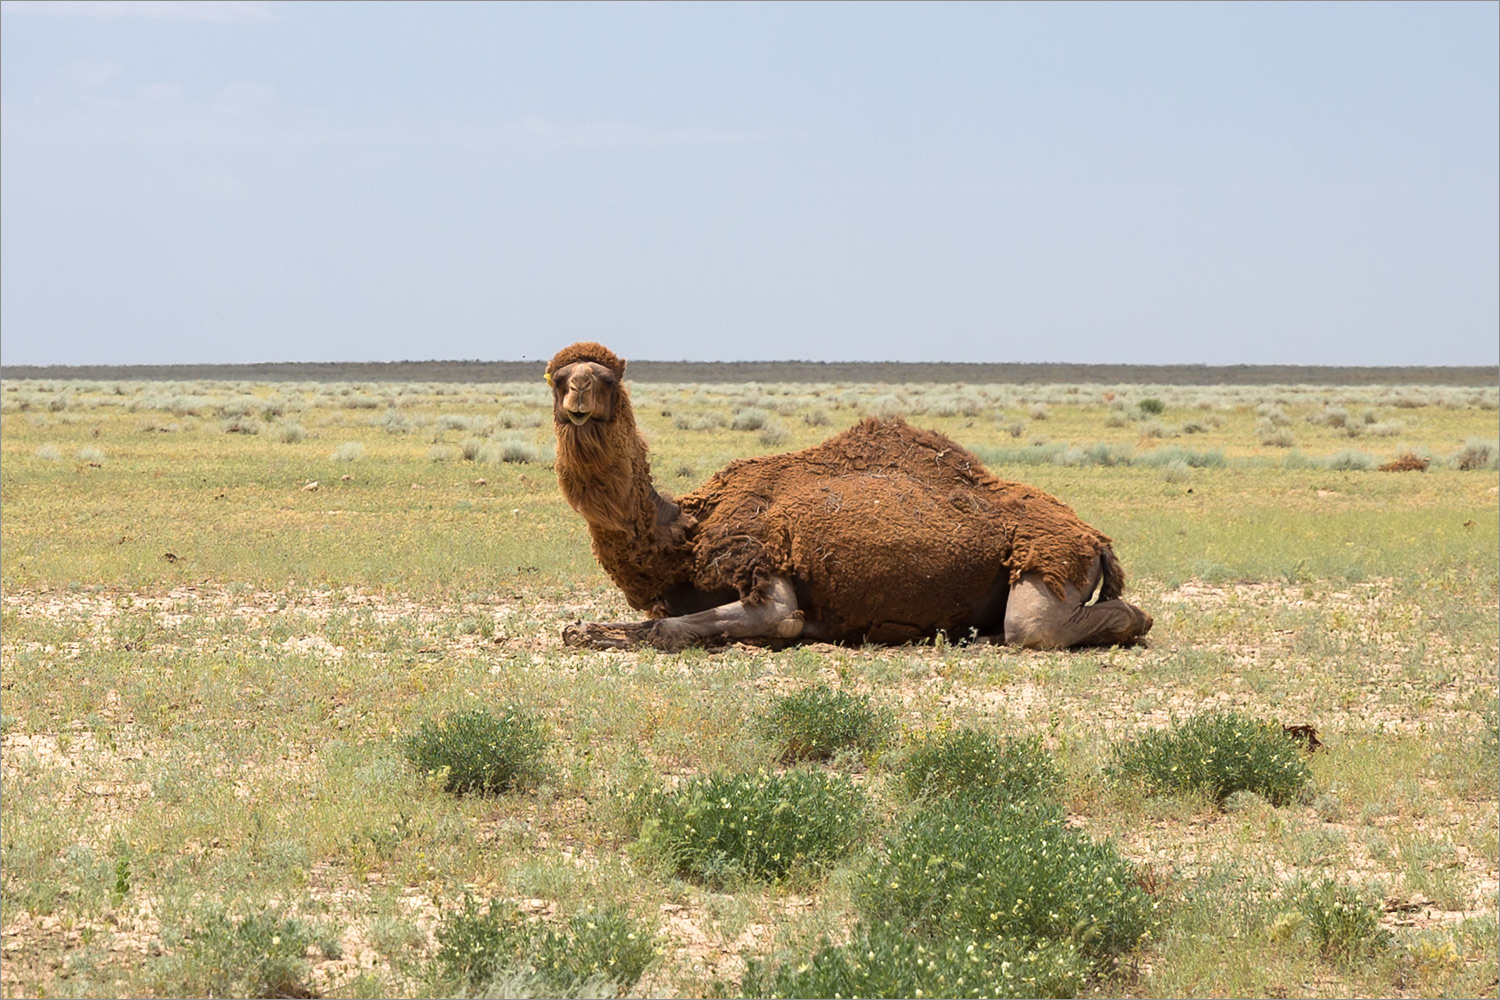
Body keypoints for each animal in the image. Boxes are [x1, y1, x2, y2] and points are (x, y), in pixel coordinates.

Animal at [546, 344, 1152, 653]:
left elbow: (732, 622)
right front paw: (583, 628)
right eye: (558, 378)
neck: (684, 530)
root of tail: (1095, 539)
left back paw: (1133, 621)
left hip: (1051, 564)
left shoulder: (760, 563)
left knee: (1037, 628)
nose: (577, 398)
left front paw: (589, 631)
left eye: (603, 378)